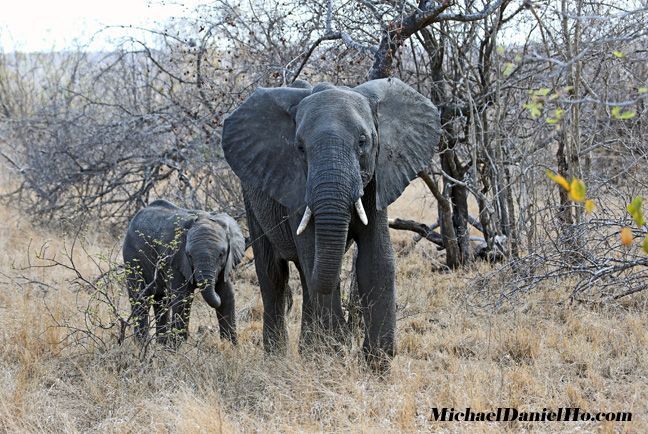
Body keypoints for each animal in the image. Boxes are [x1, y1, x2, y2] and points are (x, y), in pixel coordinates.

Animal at [121, 200, 243, 346]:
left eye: (221, 254)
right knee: (141, 298)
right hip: (132, 256)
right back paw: (143, 345)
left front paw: (230, 346)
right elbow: (183, 298)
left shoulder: (225, 266)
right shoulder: (176, 259)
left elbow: (227, 295)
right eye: (189, 255)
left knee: (161, 301)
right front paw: (177, 348)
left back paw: (160, 345)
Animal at [221, 79, 440, 366]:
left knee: (304, 276)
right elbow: (314, 257)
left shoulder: (376, 180)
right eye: (300, 148)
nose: (348, 339)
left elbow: (377, 259)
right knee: (274, 274)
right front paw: (334, 355)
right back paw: (278, 358)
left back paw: (308, 352)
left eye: (363, 142)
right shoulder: (295, 185)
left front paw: (376, 364)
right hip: (251, 197)